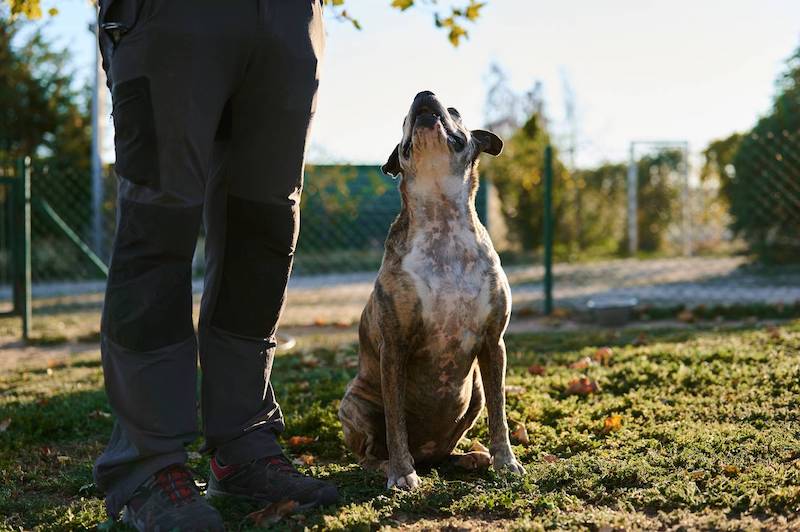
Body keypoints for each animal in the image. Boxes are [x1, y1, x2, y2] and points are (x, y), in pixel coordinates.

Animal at [338, 91, 524, 490]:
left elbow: (500, 413)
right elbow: (395, 423)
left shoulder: (493, 343)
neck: (441, 216)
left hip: (475, 393)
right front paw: (401, 473)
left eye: (455, 111)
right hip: (355, 403)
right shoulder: (394, 347)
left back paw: (469, 457)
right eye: (401, 119)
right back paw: (388, 466)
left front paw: (505, 461)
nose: (424, 94)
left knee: (446, 448)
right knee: (369, 454)